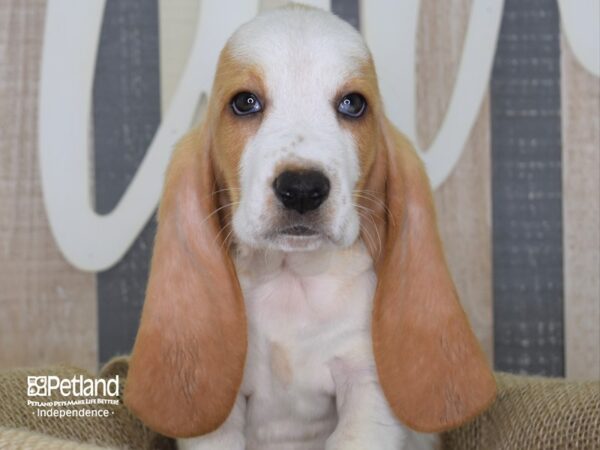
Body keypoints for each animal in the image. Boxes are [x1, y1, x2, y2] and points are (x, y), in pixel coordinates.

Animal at [123, 4, 496, 450]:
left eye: (353, 104)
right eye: (244, 102)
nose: (302, 189)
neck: (291, 279)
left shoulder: (366, 385)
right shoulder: (220, 420)